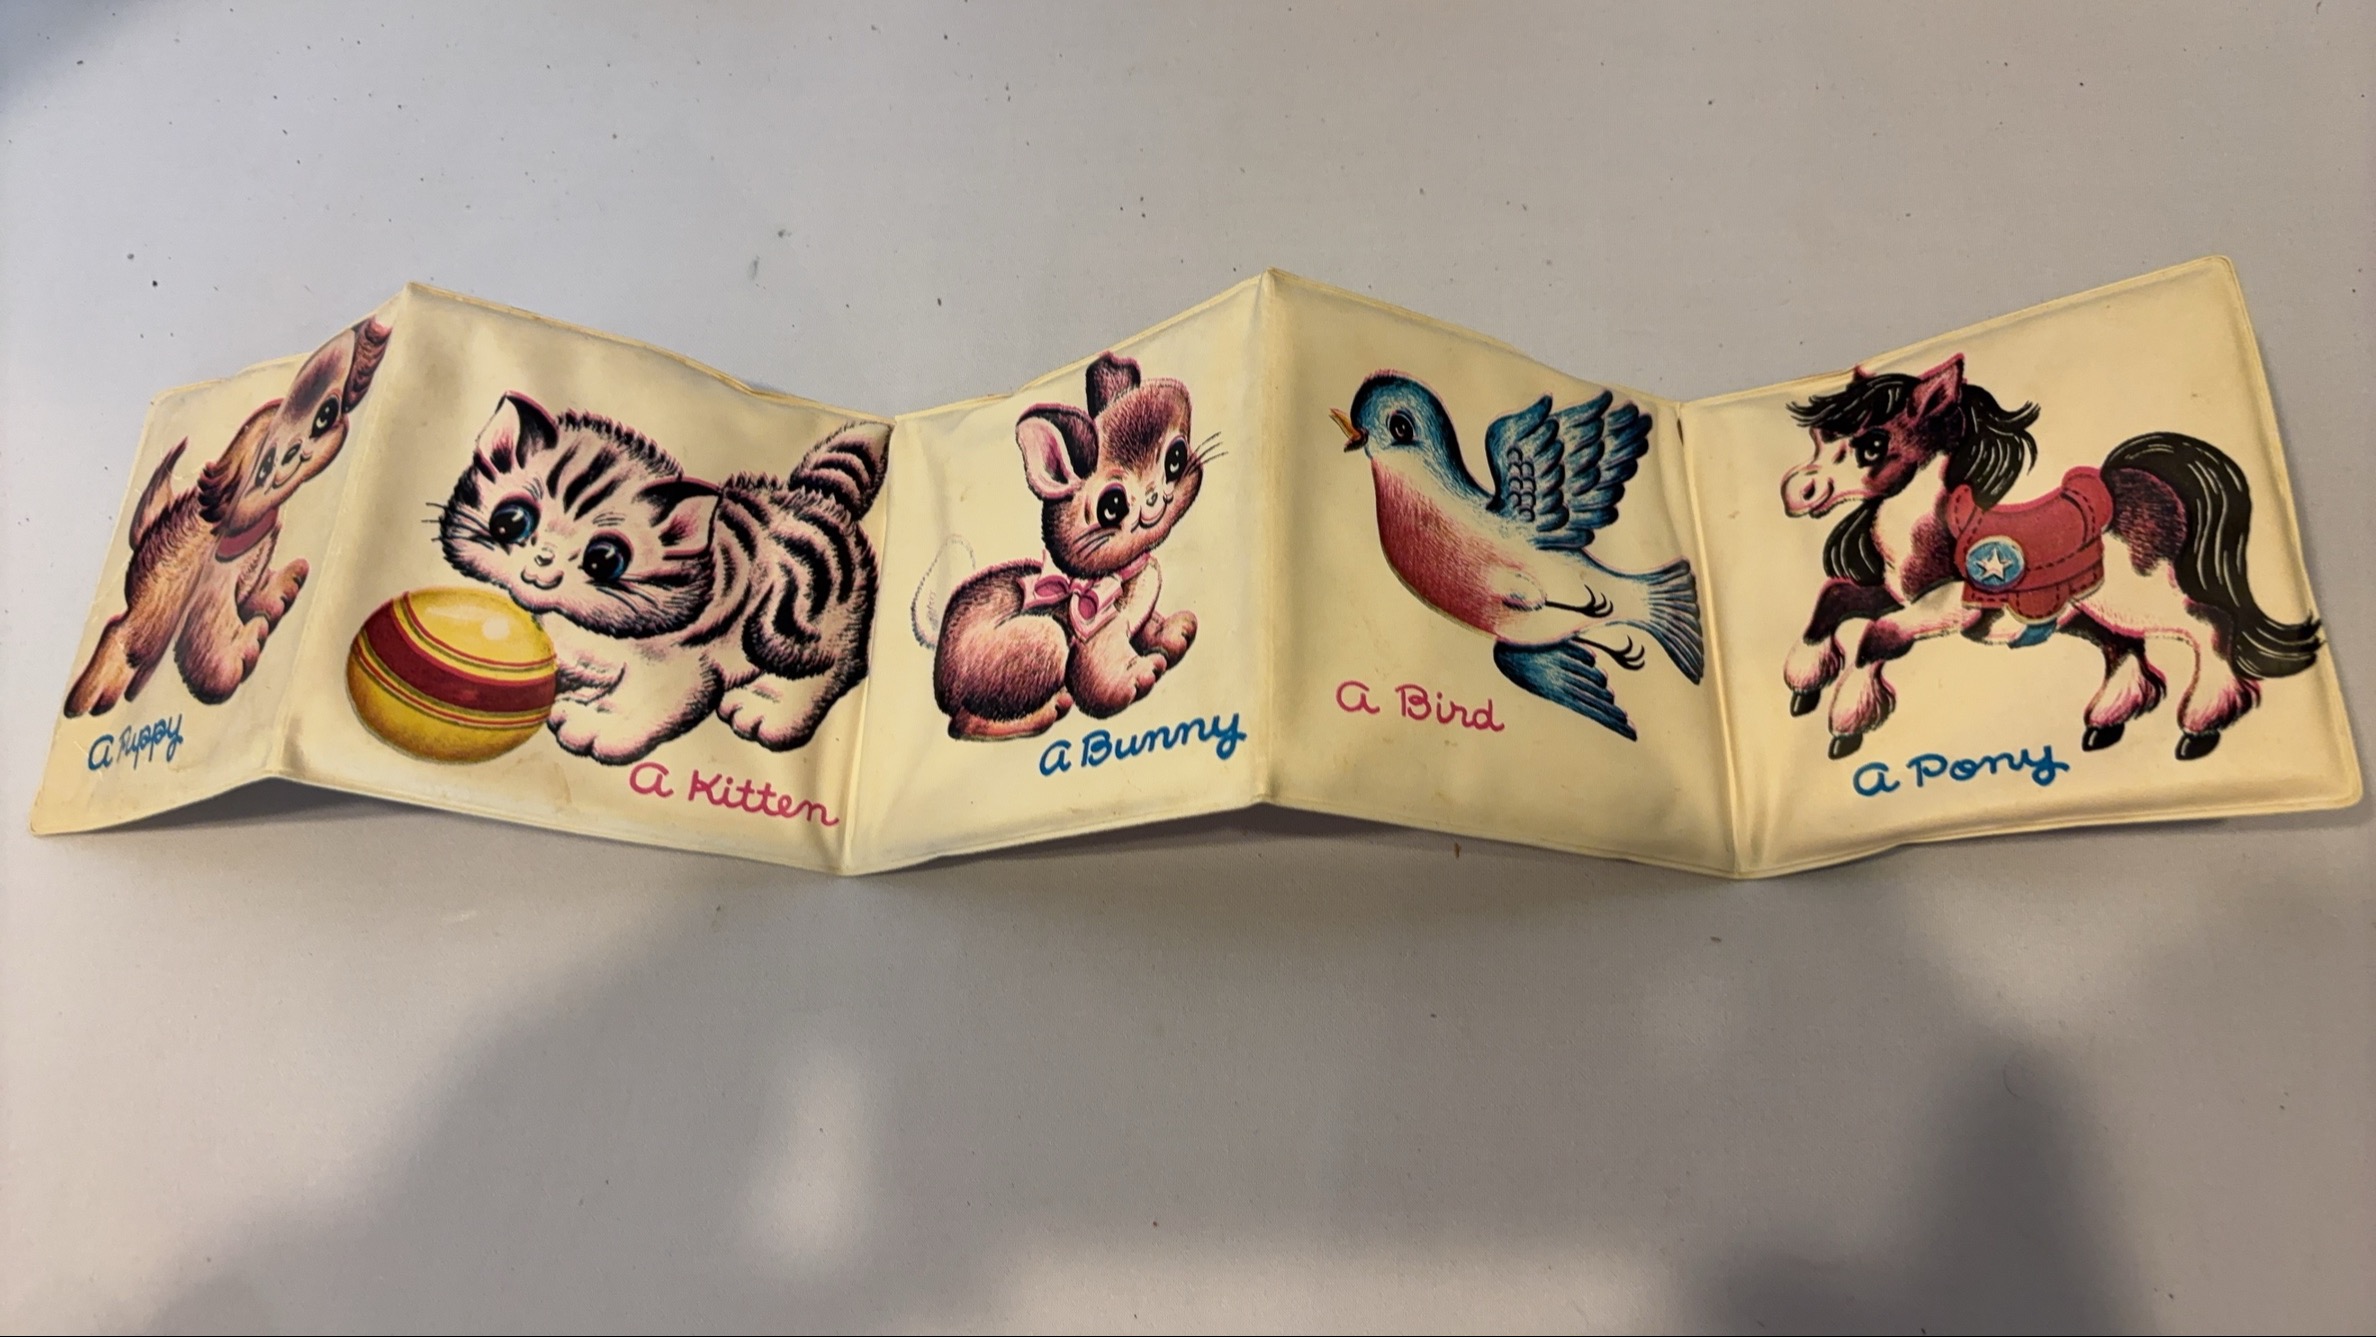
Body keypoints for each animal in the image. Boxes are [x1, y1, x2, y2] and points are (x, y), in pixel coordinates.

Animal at [65, 318, 392, 717]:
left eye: (325, 416)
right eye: (263, 468)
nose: (294, 452)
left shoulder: (254, 566)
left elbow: (259, 588)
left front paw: (280, 591)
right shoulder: (210, 597)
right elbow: (209, 646)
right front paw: (243, 652)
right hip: (149, 620)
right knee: (120, 632)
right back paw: (92, 693)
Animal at [438, 395, 888, 765]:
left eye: (604, 560)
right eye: (510, 521)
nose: (543, 559)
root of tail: (817, 496)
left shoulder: (675, 667)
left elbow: (645, 700)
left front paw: (593, 724)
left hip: (799, 627)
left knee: (830, 666)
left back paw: (767, 709)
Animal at [913, 352, 1213, 741]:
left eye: (1176, 457)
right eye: (1112, 506)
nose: (1157, 496)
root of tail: (941, 672)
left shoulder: (1138, 617)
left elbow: (1149, 626)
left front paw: (1174, 632)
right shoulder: (1095, 638)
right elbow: (1100, 677)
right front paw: (1136, 677)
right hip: (1043, 640)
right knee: (961, 724)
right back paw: (1045, 712)